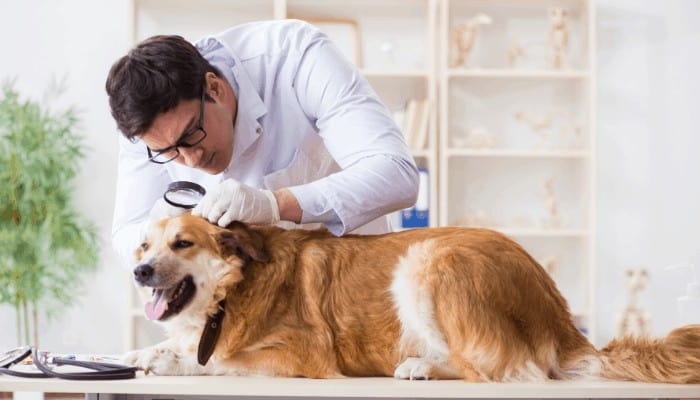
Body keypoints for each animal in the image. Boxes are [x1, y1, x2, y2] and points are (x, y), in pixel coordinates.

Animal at [126, 214, 700, 382]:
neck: (234, 289)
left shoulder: (303, 354)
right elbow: (163, 347)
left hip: (428, 258)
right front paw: (140, 354)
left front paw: (176, 362)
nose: (139, 270)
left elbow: (221, 358)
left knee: (500, 368)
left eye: (183, 243)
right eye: (145, 244)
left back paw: (418, 367)